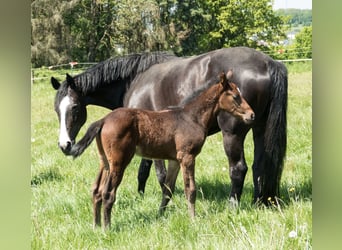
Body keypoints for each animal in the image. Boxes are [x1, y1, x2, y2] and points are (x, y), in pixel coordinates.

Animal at [68, 71, 254, 229]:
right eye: (236, 96)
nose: (251, 115)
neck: (191, 117)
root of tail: (104, 120)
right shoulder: (187, 156)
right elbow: (190, 189)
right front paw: (193, 220)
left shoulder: (175, 160)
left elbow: (167, 189)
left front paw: (160, 216)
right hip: (119, 162)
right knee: (107, 193)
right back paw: (107, 228)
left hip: (105, 162)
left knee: (96, 191)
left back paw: (96, 226)